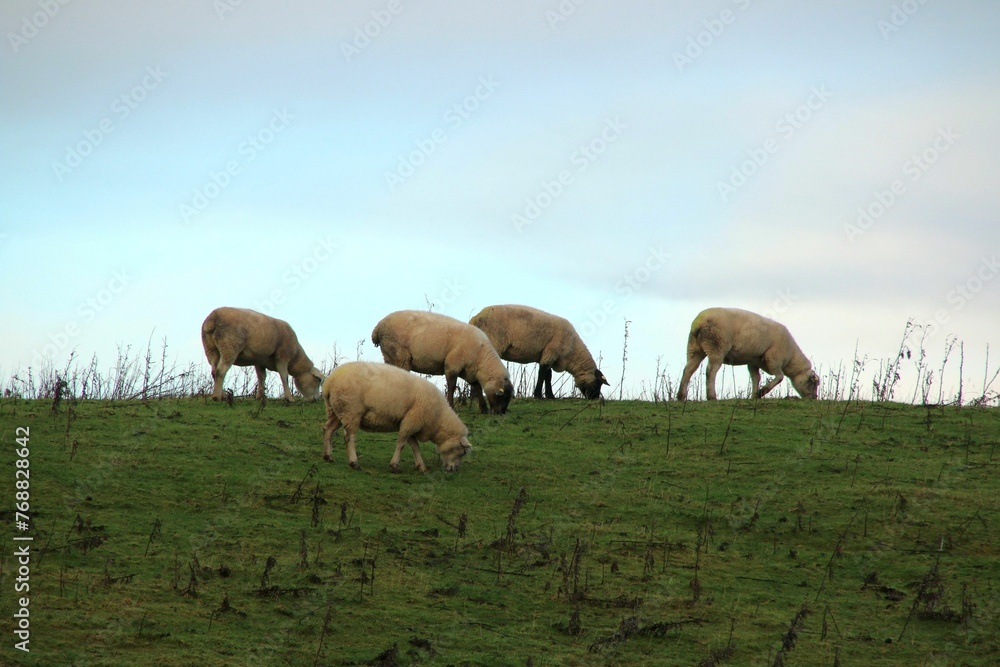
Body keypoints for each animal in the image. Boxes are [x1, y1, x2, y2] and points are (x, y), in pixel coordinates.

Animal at [322, 361, 472, 472]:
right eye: (462, 452)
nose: (454, 470)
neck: (438, 420)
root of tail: (329, 382)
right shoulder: (412, 421)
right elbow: (401, 444)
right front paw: (394, 465)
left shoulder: (410, 422)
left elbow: (414, 446)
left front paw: (421, 466)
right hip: (351, 410)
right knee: (349, 436)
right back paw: (353, 462)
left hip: (337, 411)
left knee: (328, 429)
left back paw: (328, 456)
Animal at [371, 310, 514, 414]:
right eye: (503, 397)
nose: (501, 413)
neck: (482, 357)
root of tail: (378, 327)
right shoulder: (452, 365)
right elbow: (451, 387)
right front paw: (451, 406)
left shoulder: (469, 371)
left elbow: (477, 387)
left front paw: (484, 409)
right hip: (399, 356)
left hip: (390, 356)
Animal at [469, 304, 609, 400]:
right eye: (598, 384)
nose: (595, 398)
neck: (572, 352)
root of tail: (475, 319)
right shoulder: (551, 352)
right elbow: (542, 374)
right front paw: (538, 395)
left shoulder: (548, 355)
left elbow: (548, 375)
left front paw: (549, 396)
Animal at [676, 307, 819, 401]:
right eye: (813, 383)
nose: (814, 398)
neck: (791, 358)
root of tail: (699, 322)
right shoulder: (773, 358)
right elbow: (780, 377)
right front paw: (762, 392)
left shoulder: (753, 362)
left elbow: (756, 378)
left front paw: (754, 395)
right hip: (717, 346)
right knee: (711, 370)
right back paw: (712, 396)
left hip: (694, 347)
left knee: (688, 370)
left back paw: (681, 396)